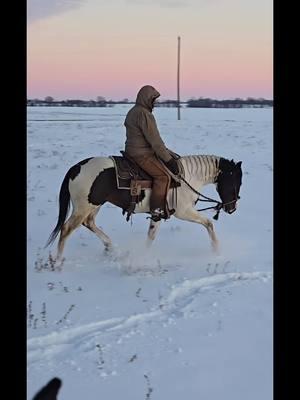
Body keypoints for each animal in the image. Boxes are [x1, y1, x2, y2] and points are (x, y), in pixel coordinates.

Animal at [47, 153, 243, 260]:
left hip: (94, 205)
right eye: (235, 182)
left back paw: (111, 246)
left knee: (89, 223)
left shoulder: (158, 213)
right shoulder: (184, 212)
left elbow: (151, 236)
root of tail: (76, 167)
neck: (188, 177)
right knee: (66, 229)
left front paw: (143, 256)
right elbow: (209, 223)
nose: (232, 208)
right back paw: (58, 261)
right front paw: (217, 250)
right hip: (84, 206)